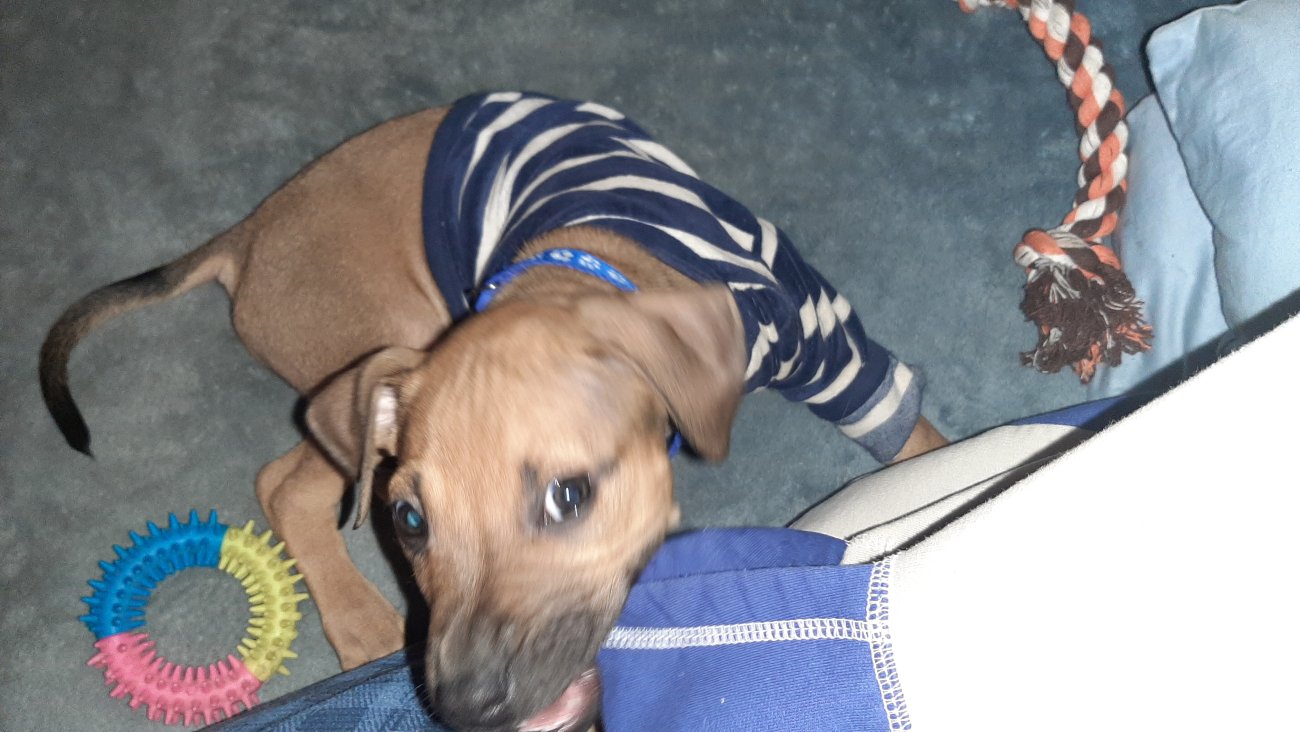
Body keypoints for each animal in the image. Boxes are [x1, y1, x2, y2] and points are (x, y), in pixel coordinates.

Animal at [40, 92, 946, 732]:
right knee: (282, 483)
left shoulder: (823, 333)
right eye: (409, 521)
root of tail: (248, 234)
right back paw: (362, 626)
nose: (466, 707)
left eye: (569, 497)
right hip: (382, 346)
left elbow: (906, 431)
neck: (594, 258)